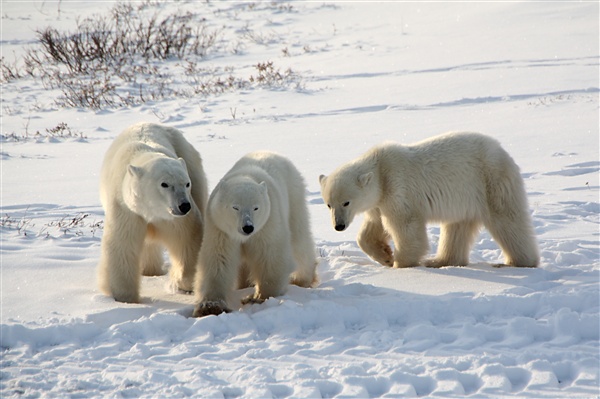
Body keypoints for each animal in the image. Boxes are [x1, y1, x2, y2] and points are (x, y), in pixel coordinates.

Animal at [98, 122, 209, 304]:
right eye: (165, 184)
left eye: (186, 183)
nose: (184, 206)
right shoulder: (126, 208)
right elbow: (123, 244)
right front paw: (125, 297)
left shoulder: (172, 217)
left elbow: (186, 237)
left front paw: (183, 283)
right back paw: (149, 270)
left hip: (190, 161)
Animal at [193, 152, 316, 318]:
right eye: (235, 207)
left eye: (256, 207)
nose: (248, 227)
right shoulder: (220, 228)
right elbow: (218, 259)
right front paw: (210, 306)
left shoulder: (268, 223)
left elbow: (270, 256)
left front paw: (261, 297)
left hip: (293, 198)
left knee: (300, 241)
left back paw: (302, 279)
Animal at [322, 133, 540, 270]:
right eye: (329, 204)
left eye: (346, 202)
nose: (338, 226)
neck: (380, 170)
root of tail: (504, 152)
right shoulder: (379, 202)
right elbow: (372, 228)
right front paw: (386, 256)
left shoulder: (397, 189)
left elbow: (406, 226)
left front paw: (400, 264)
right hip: (465, 198)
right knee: (457, 227)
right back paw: (440, 260)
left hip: (491, 182)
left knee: (507, 220)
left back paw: (518, 262)